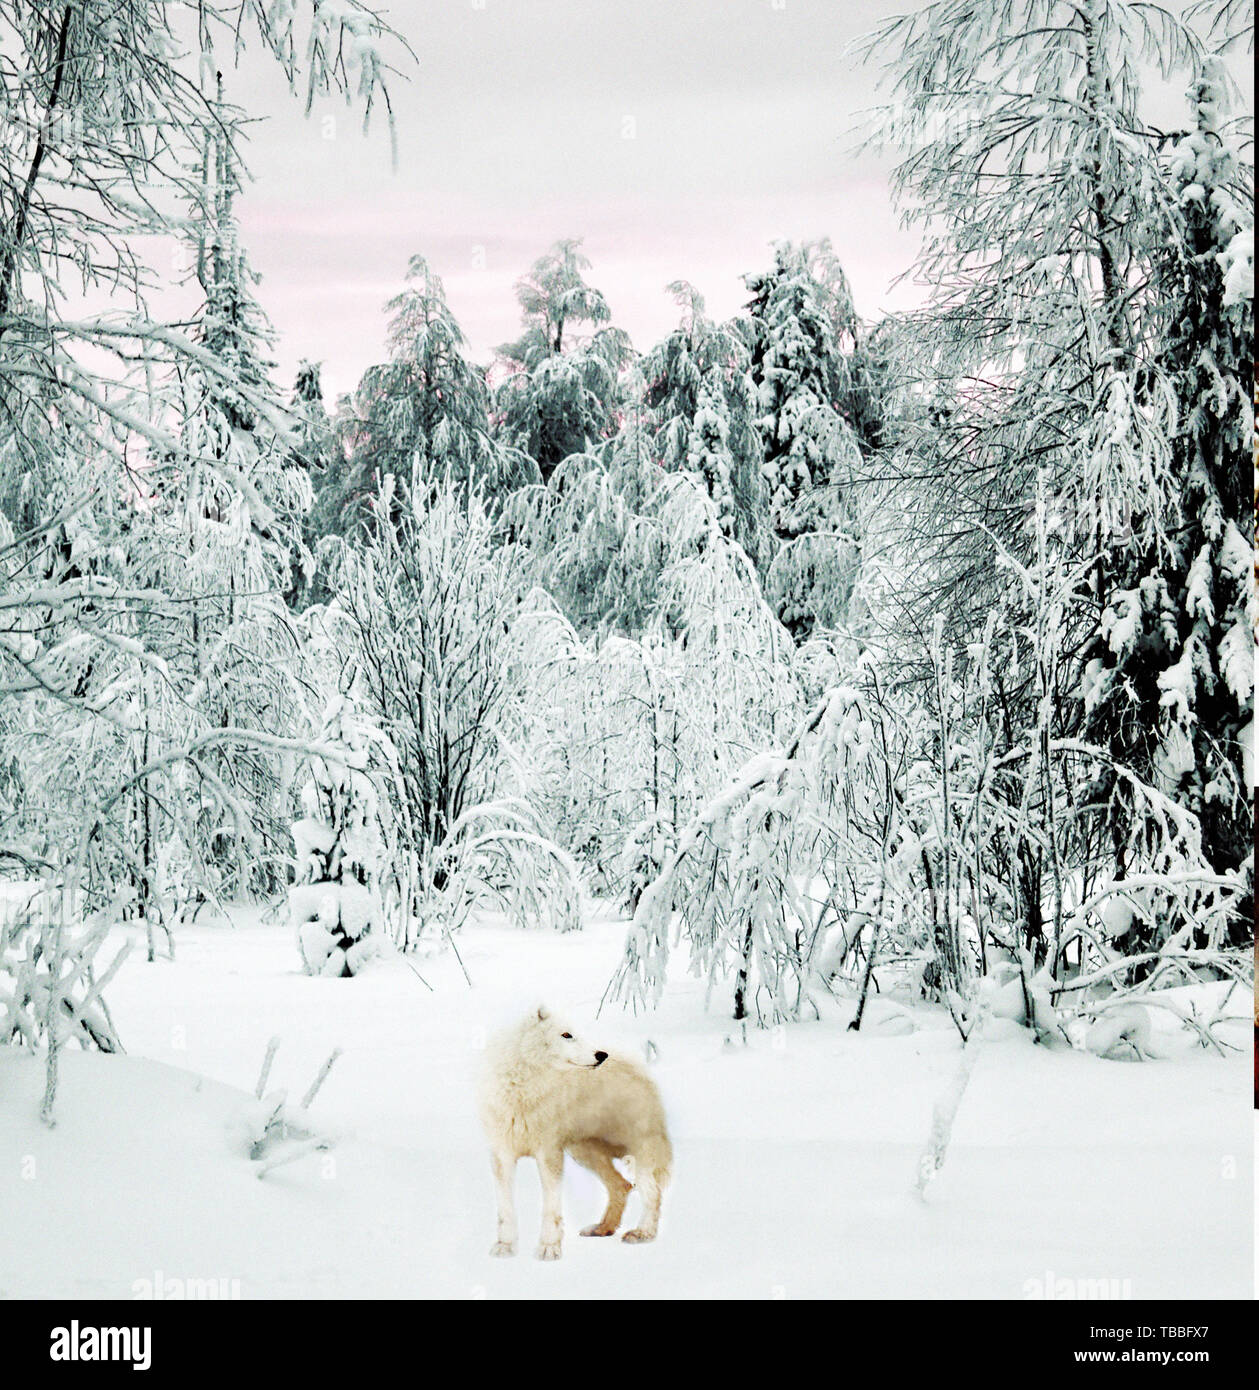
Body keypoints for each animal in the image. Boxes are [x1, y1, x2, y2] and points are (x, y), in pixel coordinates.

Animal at [478, 1011, 672, 1262]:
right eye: (566, 1035)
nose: (601, 1055)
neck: (525, 1088)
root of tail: (641, 1068)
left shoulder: (549, 1154)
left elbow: (551, 1209)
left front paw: (549, 1248)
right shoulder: (502, 1156)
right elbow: (505, 1210)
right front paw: (505, 1247)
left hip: (637, 1152)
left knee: (652, 1193)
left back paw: (643, 1233)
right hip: (585, 1153)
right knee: (621, 1185)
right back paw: (603, 1228)